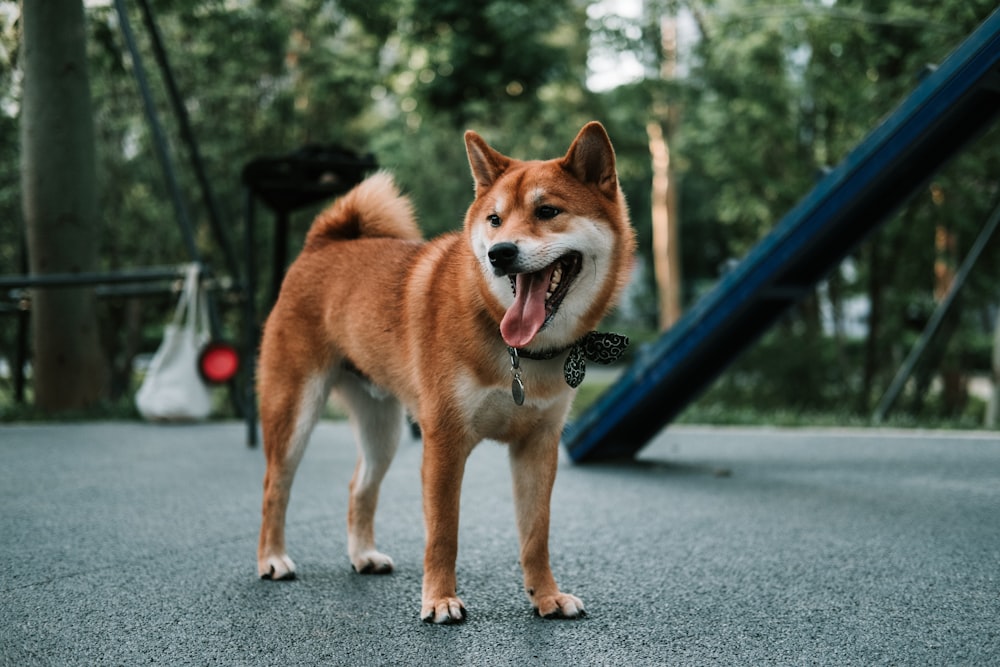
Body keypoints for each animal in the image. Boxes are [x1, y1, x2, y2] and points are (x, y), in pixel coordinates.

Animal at [256, 118, 632, 620]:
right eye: (494, 220)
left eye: (548, 211)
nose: (500, 253)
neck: (516, 350)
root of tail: (322, 246)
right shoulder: (444, 441)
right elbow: (443, 533)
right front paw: (440, 600)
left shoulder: (538, 445)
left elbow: (536, 535)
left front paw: (547, 596)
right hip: (294, 412)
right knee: (275, 486)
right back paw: (272, 559)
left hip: (383, 431)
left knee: (360, 487)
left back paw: (363, 555)